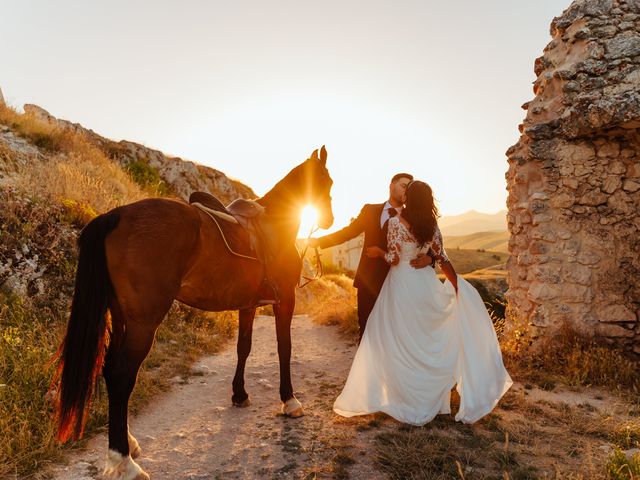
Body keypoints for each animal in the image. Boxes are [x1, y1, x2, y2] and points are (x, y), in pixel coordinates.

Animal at [53, 146, 336, 480]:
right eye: (327, 181)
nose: (329, 218)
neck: (274, 226)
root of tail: (118, 214)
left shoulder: (248, 305)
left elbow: (243, 348)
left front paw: (239, 394)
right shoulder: (285, 301)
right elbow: (284, 349)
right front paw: (289, 400)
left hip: (121, 317)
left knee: (110, 370)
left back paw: (127, 443)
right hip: (142, 323)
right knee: (122, 375)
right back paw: (124, 460)